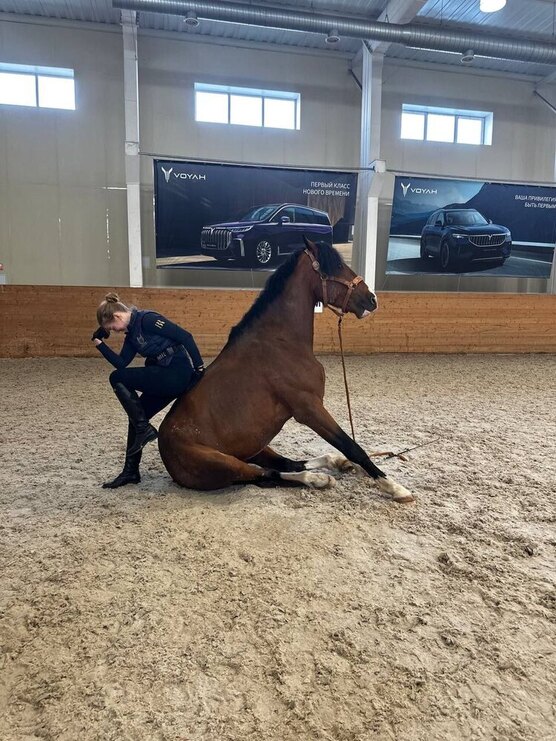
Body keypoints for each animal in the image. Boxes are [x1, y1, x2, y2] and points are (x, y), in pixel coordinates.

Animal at [158, 237, 414, 504]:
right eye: (336, 267)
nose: (372, 299)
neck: (280, 341)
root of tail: (165, 446)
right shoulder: (309, 408)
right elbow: (352, 446)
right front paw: (394, 487)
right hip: (226, 463)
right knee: (266, 475)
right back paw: (318, 479)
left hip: (256, 448)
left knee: (287, 464)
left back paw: (334, 463)